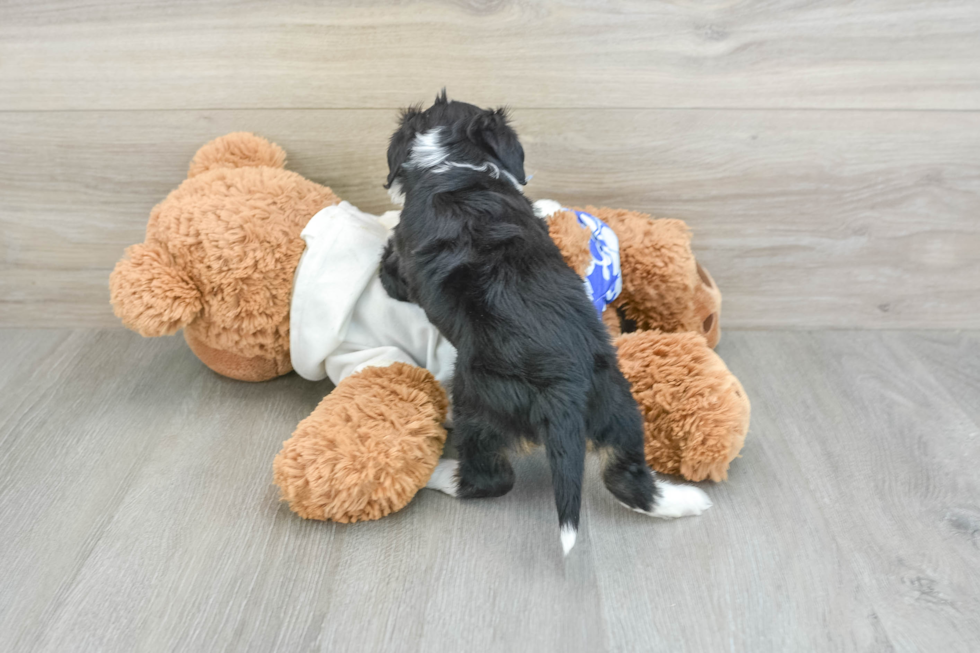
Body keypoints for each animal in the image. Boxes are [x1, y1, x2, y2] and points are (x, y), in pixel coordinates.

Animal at [378, 90, 708, 552]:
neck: (454, 163)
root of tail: (564, 390)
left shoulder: (400, 266)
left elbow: (388, 263)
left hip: (479, 400)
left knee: (491, 478)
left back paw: (437, 475)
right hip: (618, 403)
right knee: (626, 476)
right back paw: (685, 501)